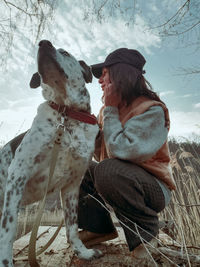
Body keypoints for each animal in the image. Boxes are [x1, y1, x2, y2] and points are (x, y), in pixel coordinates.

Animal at [0, 39, 100, 266]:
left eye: (65, 52)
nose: (43, 43)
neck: (66, 114)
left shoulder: (72, 184)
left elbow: (72, 226)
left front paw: (82, 252)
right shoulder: (17, 175)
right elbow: (8, 230)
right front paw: (6, 261)